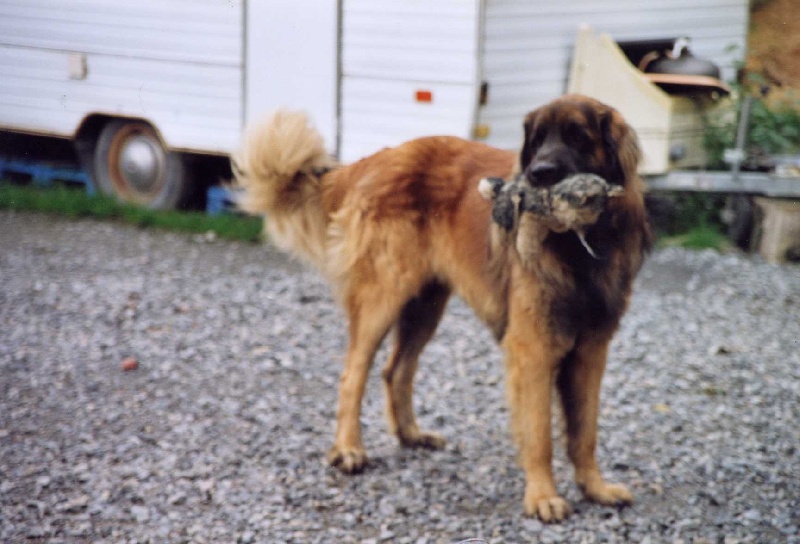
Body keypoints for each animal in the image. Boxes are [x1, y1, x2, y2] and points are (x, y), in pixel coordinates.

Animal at [231, 94, 648, 524]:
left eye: (578, 136)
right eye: (538, 140)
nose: (538, 174)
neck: (578, 244)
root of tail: (369, 162)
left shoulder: (591, 350)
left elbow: (585, 431)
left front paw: (595, 488)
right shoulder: (532, 349)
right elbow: (539, 433)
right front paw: (543, 497)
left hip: (425, 305)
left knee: (395, 369)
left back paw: (411, 435)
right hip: (382, 297)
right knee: (353, 374)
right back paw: (348, 450)